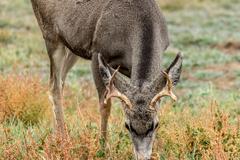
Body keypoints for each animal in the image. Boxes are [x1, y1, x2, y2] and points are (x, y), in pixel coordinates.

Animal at [31, 0, 182, 159]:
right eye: (127, 125)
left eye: (155, 124)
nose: (142, 157)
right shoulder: (97, 51)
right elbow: (105, 105)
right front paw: (102, 148)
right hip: (50, 35)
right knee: (55, 87)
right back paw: (63, 142)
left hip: (72, 46)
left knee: (58, 82)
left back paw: (55, 138)